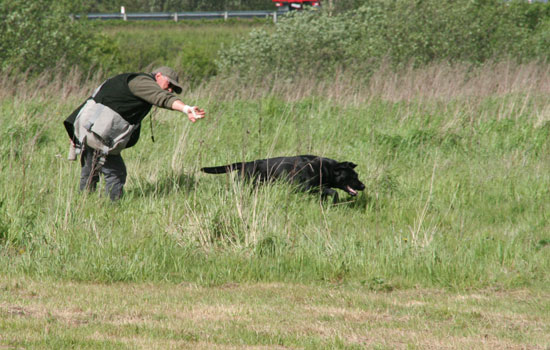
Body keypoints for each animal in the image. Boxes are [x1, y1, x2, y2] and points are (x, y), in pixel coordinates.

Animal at [202, 154, 366, 201]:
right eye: (353, 176)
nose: (363, 186)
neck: (324, 169)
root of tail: (246, 164)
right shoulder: (304, 187)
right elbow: (333, 191)